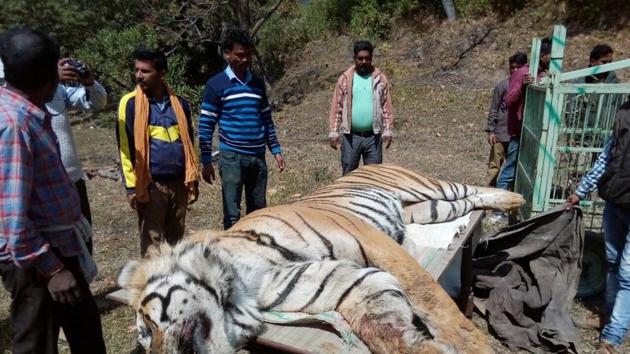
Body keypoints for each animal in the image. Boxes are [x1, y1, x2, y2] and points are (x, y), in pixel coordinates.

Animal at [116, 165, 524, 352]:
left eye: (148, 327)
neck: (241, 287)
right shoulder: (342, 281)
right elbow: (380, 324)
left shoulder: (375, 243)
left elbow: (431, 299)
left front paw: (475, 346)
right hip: (431, 210)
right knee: (468, 202)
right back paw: (509, 203)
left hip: (425, 186)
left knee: (468, 186)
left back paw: (515, 198)